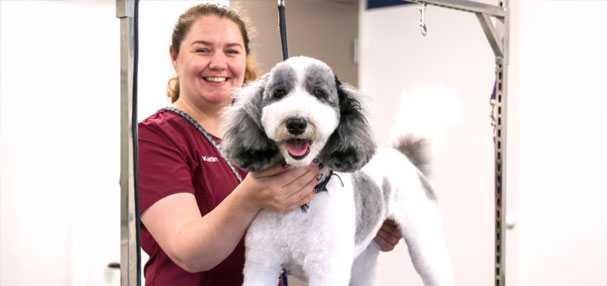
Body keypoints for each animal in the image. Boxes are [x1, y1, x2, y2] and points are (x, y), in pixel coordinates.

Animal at [221, 56, 454, 286]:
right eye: (279, 93)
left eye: (318, 93)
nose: (296, 122)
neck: (301, 208)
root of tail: (403, 155)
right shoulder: (262, 265)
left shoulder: (326, 269)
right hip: (362, 257)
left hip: (425, 242)